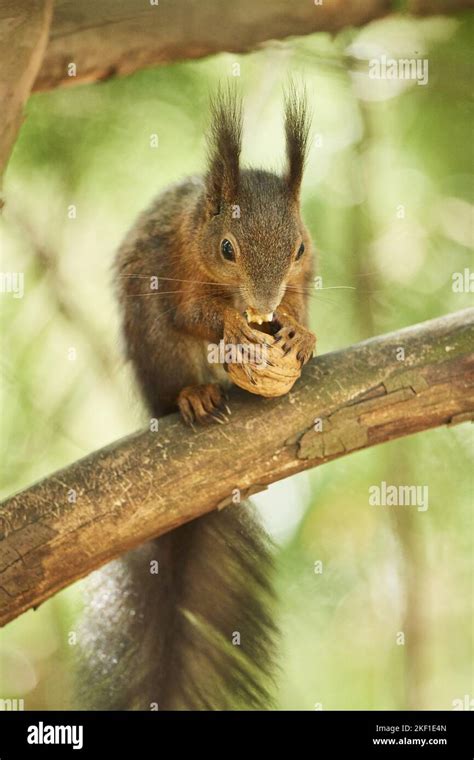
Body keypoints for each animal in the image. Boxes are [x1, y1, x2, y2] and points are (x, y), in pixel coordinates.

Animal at [77, 86, 314, 708]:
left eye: (299, 247)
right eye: (227, 248)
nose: (264, 302)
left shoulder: (304, 279)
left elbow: (302, 306)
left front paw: (300, 333)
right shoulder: (171, 265)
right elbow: (191, 313)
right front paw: (231, 324)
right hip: (157, 353)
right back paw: (195, 397)